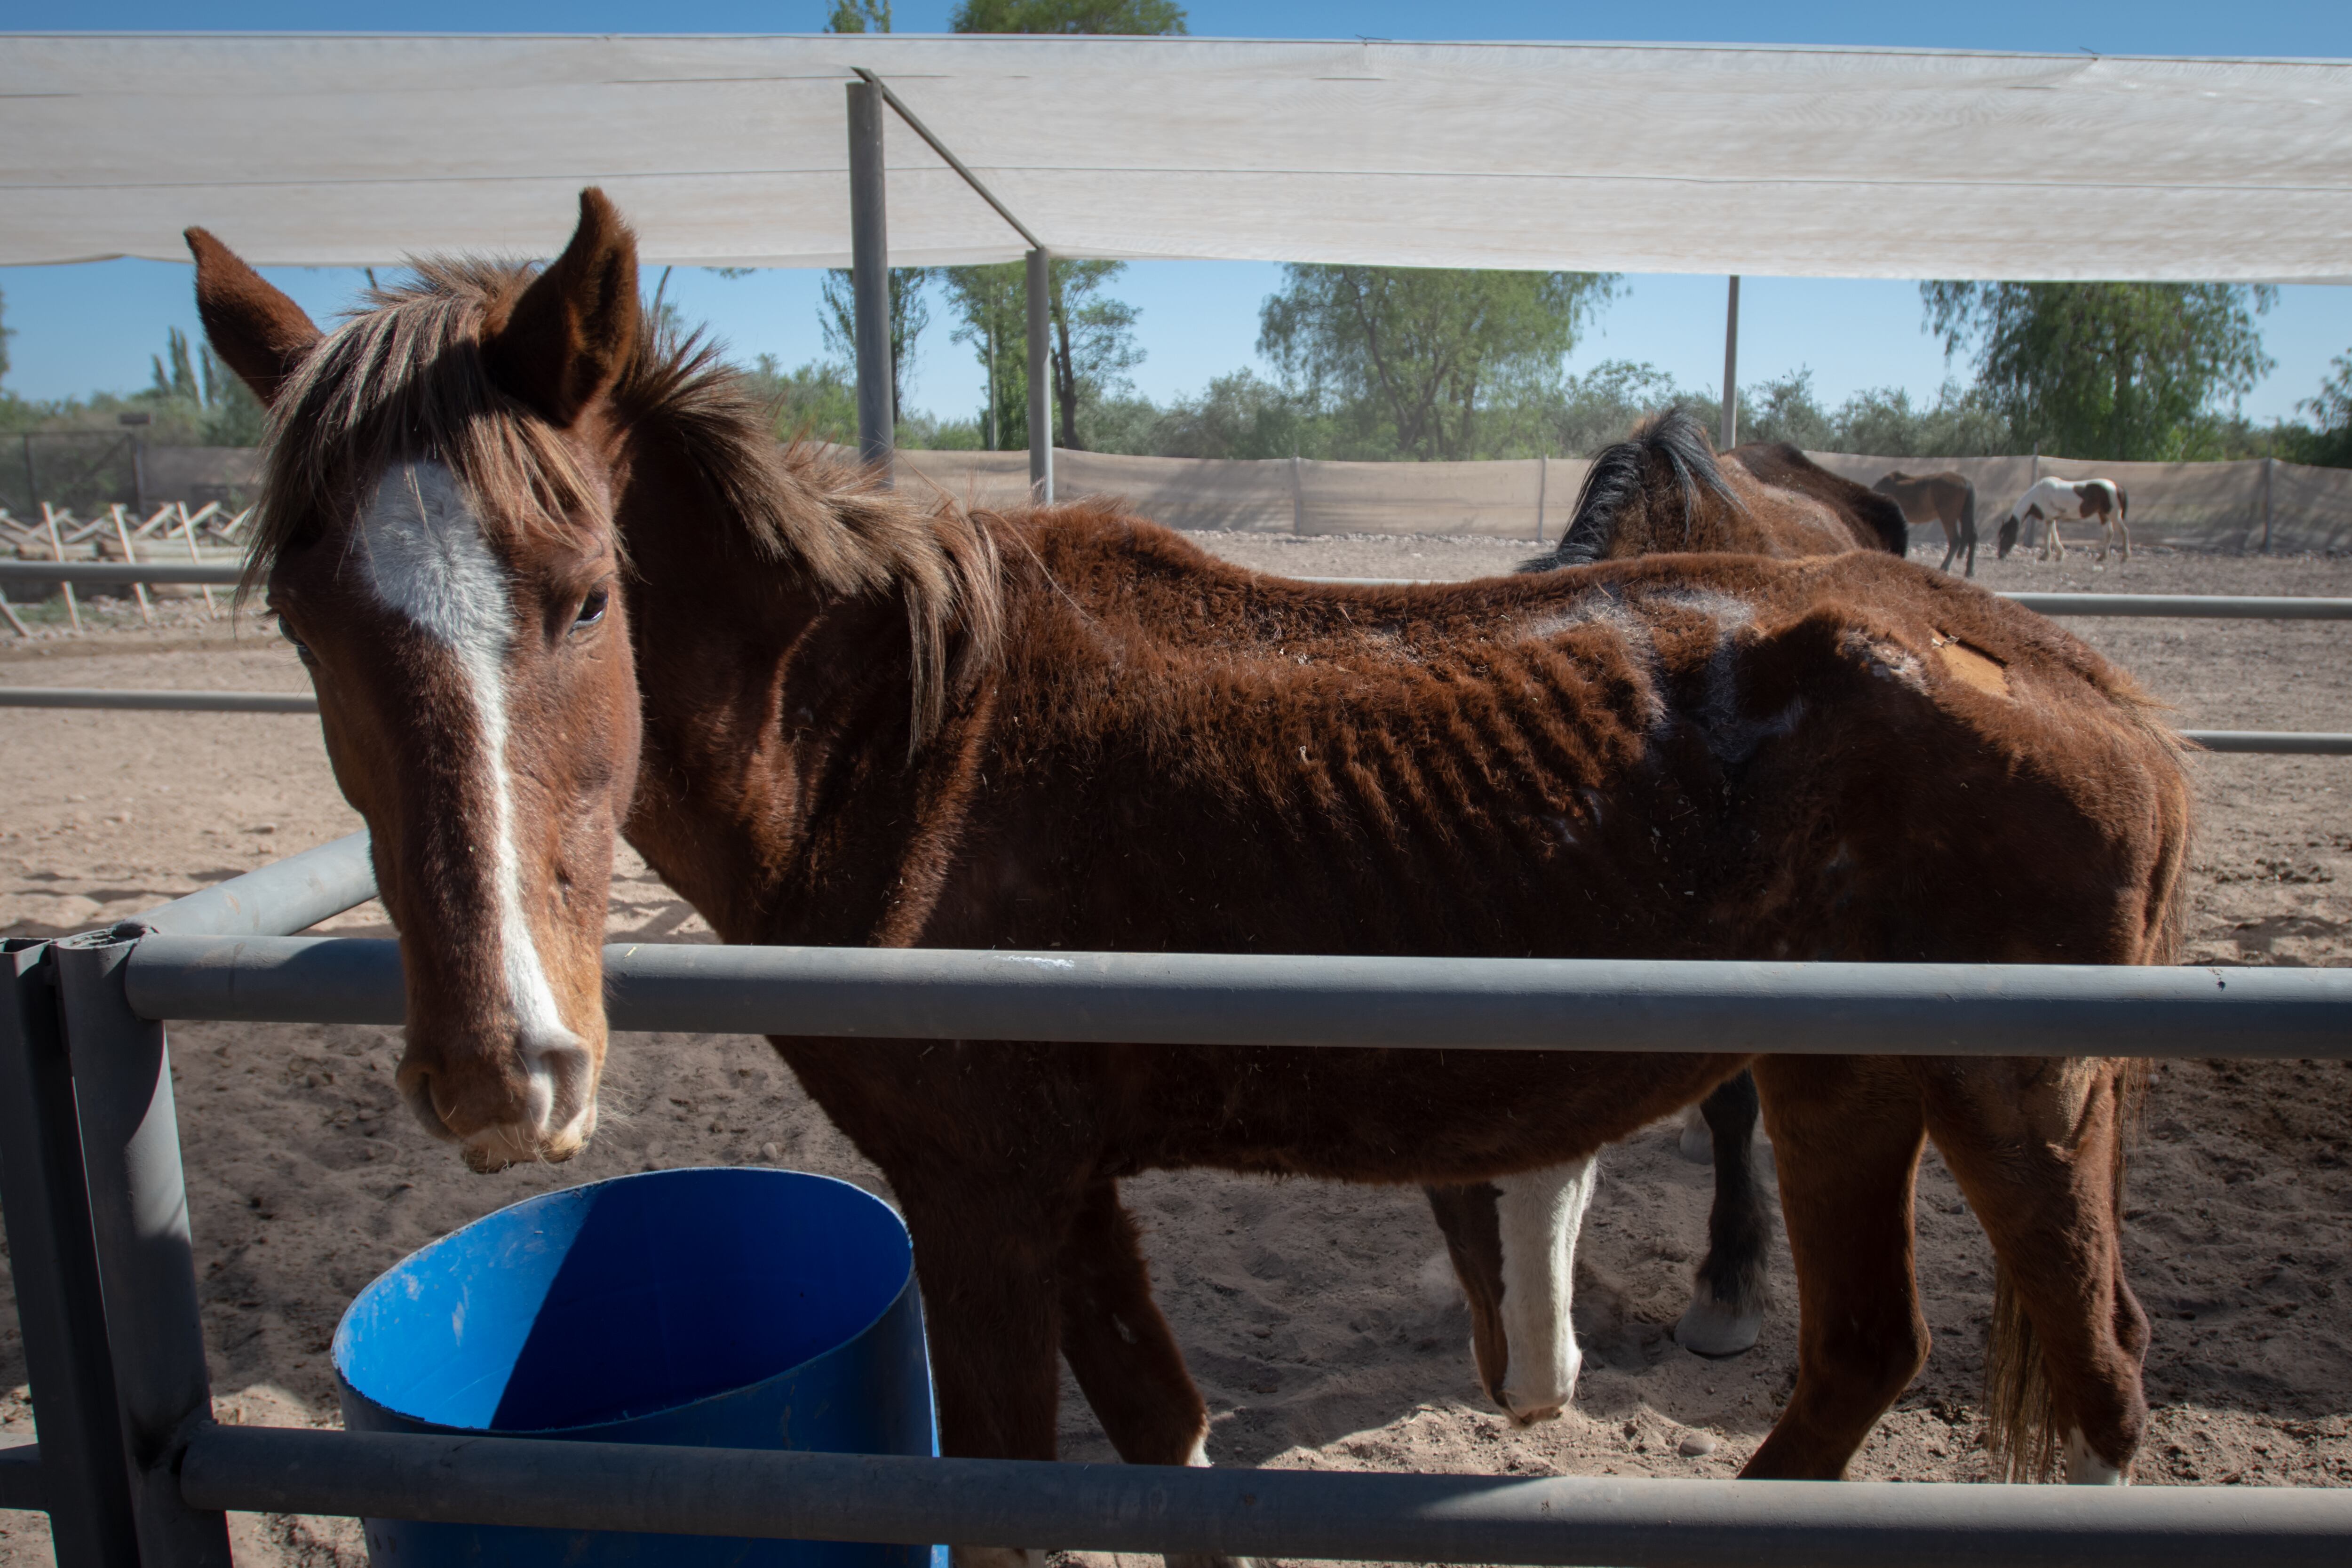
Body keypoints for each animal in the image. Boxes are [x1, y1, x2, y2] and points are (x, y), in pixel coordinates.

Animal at [1872, 479, 1985, 583]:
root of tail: (1967, 483)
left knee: (1955, 539)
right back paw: (1969, 571)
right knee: (1972, 537)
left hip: (1948, 517)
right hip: (1963, 514)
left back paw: (1945, 567)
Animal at [2004, 479, 2136, 564]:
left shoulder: (2049, 519)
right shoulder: (2051, 519)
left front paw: (2047, 556)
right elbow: (2054, 536)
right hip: (2104, 515)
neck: (2038, 495)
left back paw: (2125, 557)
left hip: (2113, 516)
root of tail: (2118, 487)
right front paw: (2058, 555)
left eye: (2005, 536)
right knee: (2109, 534)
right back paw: (2102, 557)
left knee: (2124, 532)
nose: (2001, 555)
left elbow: (2048, 537)